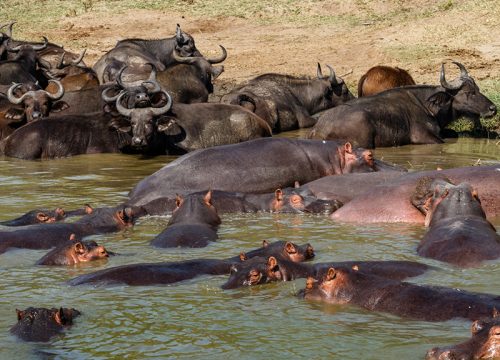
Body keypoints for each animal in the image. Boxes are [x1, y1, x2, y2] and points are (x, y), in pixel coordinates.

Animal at [308, 62, 496, 148]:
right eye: (469, 92)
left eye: (478, 89)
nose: (493, 109)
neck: (428, 106)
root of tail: (317, 129)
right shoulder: (424, 137)